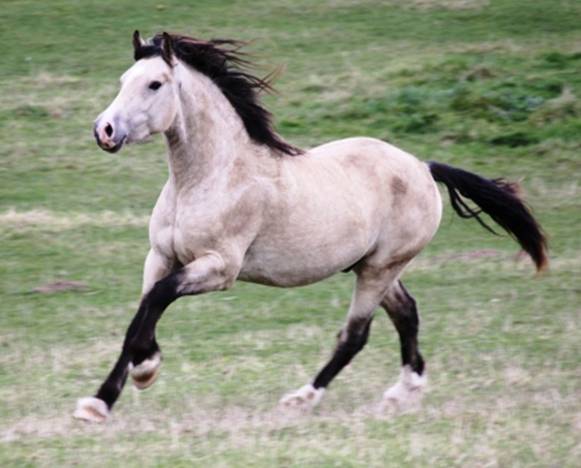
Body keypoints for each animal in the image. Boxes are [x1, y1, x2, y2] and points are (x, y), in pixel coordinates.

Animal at [71, 31, 544, 422]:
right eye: (123, 79)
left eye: (155, 84)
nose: (104, 130)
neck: (211, 176)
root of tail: (423, 168)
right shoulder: (161, 257)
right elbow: (142, 313)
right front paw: (111, 394)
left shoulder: (219, 268)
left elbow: (154, 304)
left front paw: (135, 376)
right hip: (375, 266)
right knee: (407, 313)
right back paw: (403, 393)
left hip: (380, 268)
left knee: (355, 335)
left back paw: (303, 398)